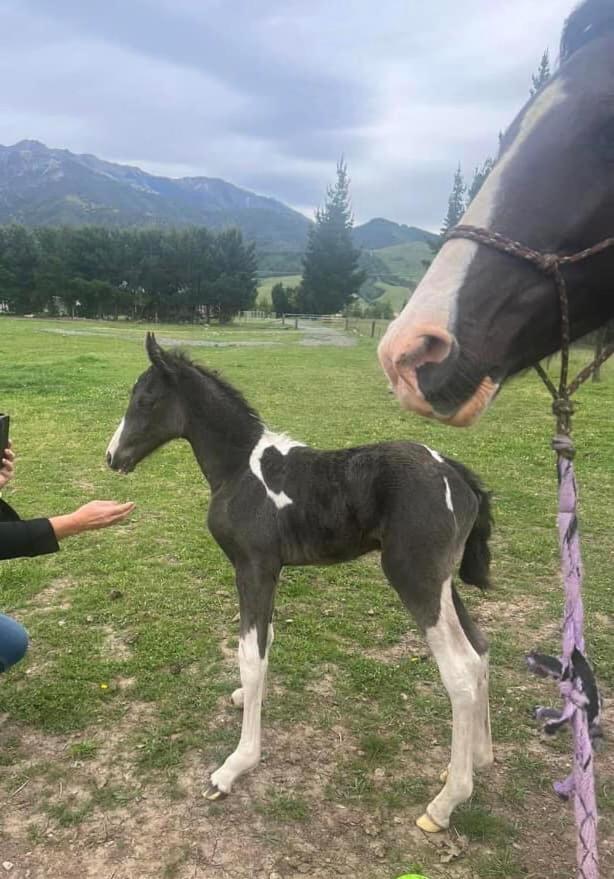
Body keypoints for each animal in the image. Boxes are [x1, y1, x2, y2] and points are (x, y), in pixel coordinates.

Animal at [108, 334, 496, 836]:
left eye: (145, 400)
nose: (112, 457)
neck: (241, 469)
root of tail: (457, 475)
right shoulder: (267, 571)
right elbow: (264, 643)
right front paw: (244, 700)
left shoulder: (254, 567)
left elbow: (250, 656)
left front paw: (235, 765)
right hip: (444, 583)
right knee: (481, 647)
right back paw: (479, 758)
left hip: (416, 578)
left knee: (461, 671)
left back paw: (445, 803)